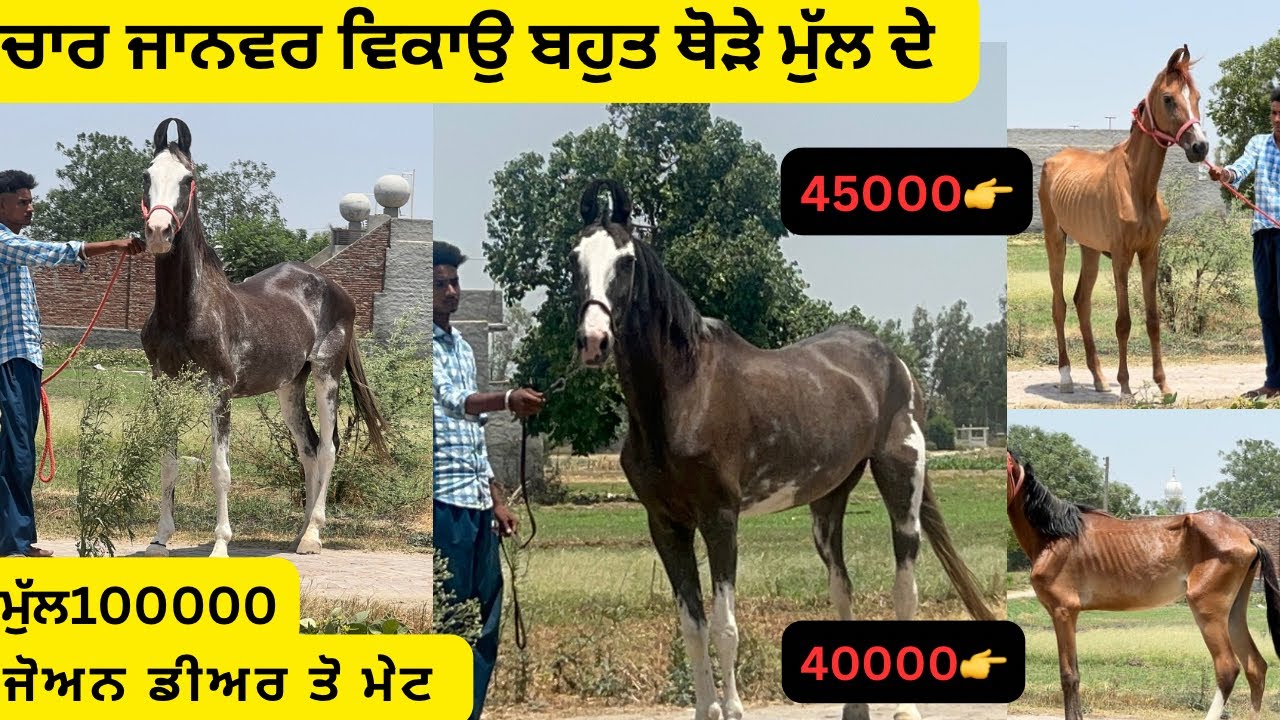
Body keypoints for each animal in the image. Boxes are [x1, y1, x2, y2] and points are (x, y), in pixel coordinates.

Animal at [138, 117, 389, 558]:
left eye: (188, 179)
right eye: (147, 175)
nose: (158, 232)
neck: (186, 309)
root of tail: (336, 289)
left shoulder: (219, 388)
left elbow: (220, 469)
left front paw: (221, 545)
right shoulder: (163, 384)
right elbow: (168, 462)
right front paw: (159, 540)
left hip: (326, 376)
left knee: (328, 448)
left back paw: (313, 536)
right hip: (290, 386)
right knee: (308, 448)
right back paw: (300, 532)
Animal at [568, 179, 996, 720]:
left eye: (625, 261)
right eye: (575, 257)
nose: (593, 341)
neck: (685, 393)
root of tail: (893, 361)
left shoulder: (720, 519)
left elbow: (725, 628)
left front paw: (733, 710)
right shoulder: (665, 525)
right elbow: (692, 627)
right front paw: (707, 709)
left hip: (901, 486)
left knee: (905, 590)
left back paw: (905, 709)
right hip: (827, 503)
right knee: (842, 589)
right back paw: (855, 708)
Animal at [1006, 451, 1280, 720]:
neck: (1055, 537)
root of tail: (1246, 535)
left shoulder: (1063, 612)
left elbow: (1069, 676)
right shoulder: (1067, 615)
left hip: (1208, 611)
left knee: (1228, 668)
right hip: (1233, 612)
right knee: (1255, 667)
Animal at [1040, 45, 1208, 397]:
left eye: (1197, 96)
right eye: (1169, 98)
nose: (1200, 147)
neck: (1137, 185)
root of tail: (1054, 160)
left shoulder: (1149, 253)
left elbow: (1153, 319)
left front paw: (1163, 384)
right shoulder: (1120, 256)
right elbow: (1123, 322)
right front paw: (1127, 385)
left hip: (1089, 249)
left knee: (1082, 302)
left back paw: (1099, 379)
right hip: (1055, 240)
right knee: (1060, 305)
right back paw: (1067, 378)